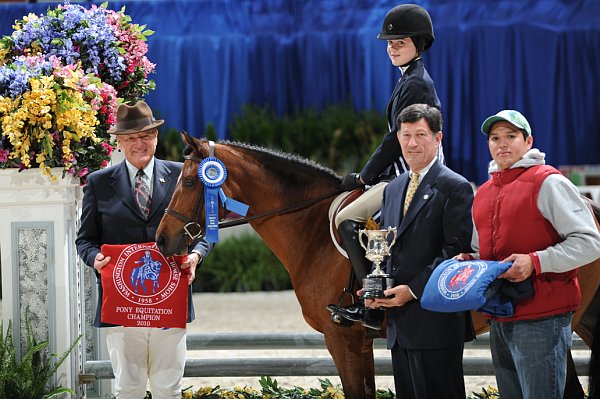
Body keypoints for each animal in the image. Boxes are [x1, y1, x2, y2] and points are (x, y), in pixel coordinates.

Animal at [156, 135, 600, 399]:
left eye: (191, 182)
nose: (162, 240)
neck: (310, 228)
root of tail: (586, 205)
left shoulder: (343, 339)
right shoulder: (363, 343)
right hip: (584, 320)